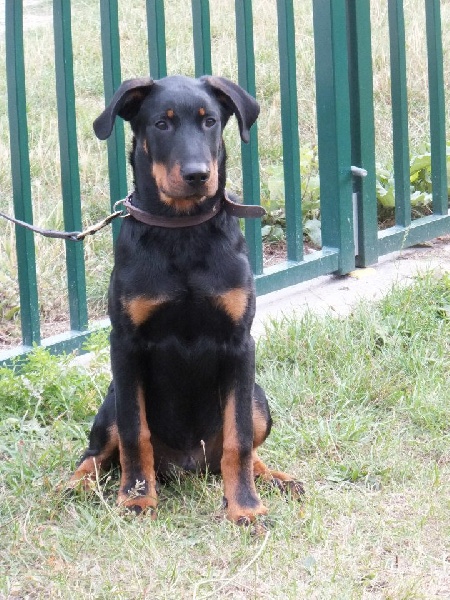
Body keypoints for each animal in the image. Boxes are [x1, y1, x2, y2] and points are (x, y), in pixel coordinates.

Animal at [68, 75, 302, 524]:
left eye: (209, 121)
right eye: (161, 124)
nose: (198, 175)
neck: (182, 231)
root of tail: (187, 465)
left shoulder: (239, 343)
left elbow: (239, 440)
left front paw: (244, 505)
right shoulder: (125, 345)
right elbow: (134, 433)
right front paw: (137, 497)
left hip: (257, 397)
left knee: (244, 446)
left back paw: (275, 478)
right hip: (112, 398)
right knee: (96, 452)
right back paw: (73, 484)